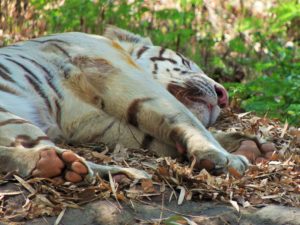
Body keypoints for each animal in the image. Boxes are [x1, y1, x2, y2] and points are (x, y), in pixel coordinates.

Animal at [0, 26, 274, 183]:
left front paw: (249, 145)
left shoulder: (88, 122)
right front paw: (225, 157)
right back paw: (120, 174)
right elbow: (184, 116)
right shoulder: (120, 72)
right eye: (186, 63)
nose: (223, 95)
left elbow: (154, 136)